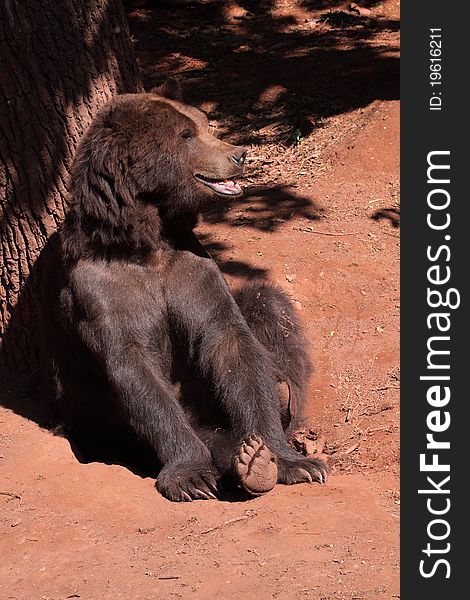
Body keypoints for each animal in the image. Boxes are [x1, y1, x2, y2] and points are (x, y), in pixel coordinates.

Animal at [44, 79, 328, 502]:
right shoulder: (102, 291)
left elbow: (230, 340)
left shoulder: (190, 270)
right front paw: (192, 475)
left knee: (263, 303)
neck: (146, 244)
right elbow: (135, 367)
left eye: (204, 123)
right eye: (186, 135)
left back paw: (261, 450)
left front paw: (288, 459)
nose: (238, 153)